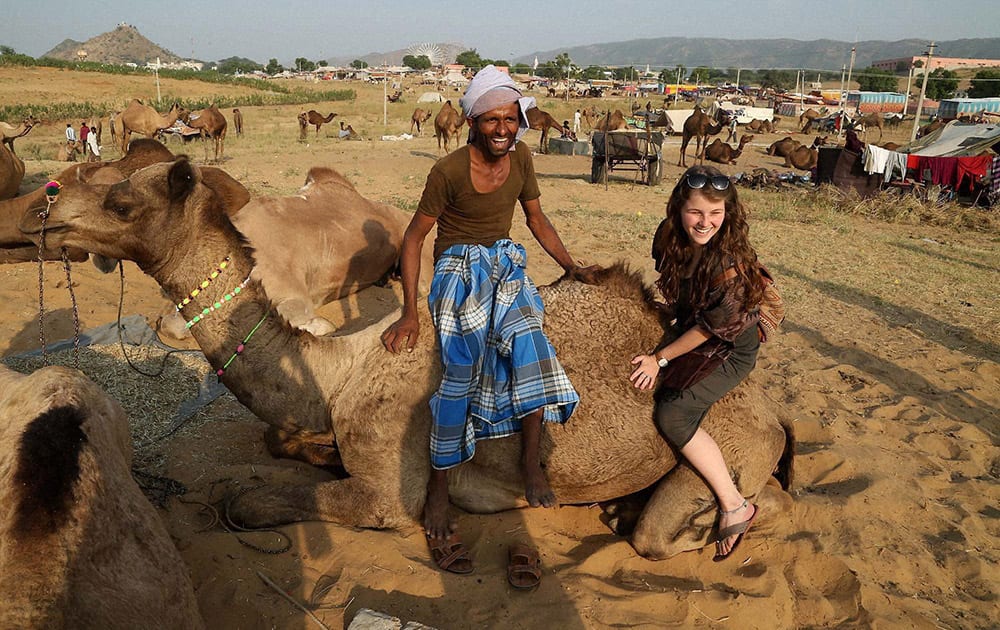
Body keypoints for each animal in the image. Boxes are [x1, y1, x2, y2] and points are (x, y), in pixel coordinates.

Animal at [19, 159, 792, 564]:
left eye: (120, 198)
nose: (41, 214)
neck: (341, 370)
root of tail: (775, 416)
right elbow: (282, 442)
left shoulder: (389, 487)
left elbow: (254, 498)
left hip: (728, 445)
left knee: (688, 526)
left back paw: (709, 522)